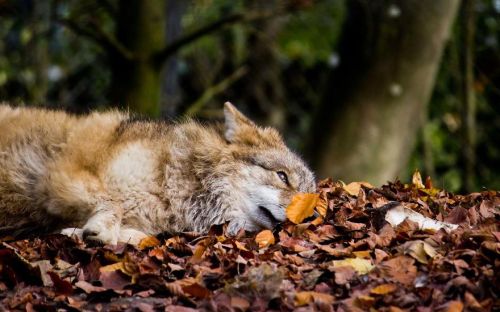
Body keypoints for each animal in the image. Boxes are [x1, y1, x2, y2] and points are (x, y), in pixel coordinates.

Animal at [0, 102, 312, 244]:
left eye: (310, 195)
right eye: (283, 177)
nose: (308, 217)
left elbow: (140, 235)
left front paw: (83, 232)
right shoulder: (61, 173)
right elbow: (112, 202)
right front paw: (99, 229)